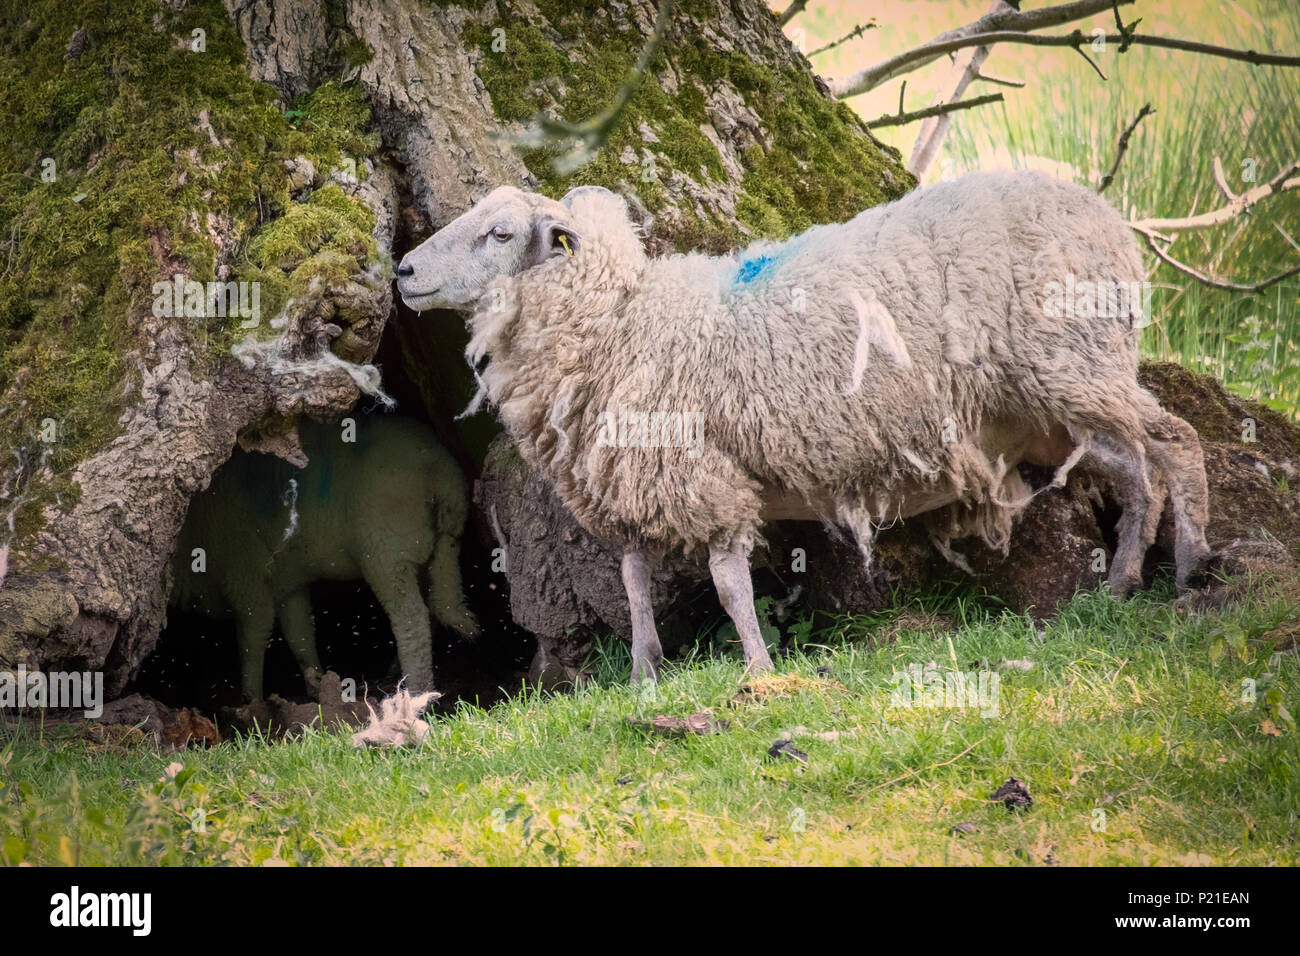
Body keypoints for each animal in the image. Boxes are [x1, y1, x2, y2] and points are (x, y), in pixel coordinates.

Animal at [169, 415, 478, 700]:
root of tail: (441, 470)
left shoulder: (245, 575)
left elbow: (253, 638)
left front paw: (252, 701)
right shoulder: (287, 582)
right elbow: (300, 634)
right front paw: (316, 686)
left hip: (387, 551)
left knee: (411, 618)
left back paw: (416, 691)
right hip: (440, 550)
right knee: (434, 605)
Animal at [396, 172, 1214, 682]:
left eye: (500, 234)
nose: (402, 271)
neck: (619, 321)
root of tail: (1109, 220)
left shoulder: (702, 475)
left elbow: (729, 583)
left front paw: (757, 668)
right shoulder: (632, 481)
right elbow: (631, 581)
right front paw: (643, 673)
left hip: (1076, 363)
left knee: (1175, 444)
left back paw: (1191, 572)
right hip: (1053, 401)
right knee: (1135, 468)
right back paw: (1121, 582)